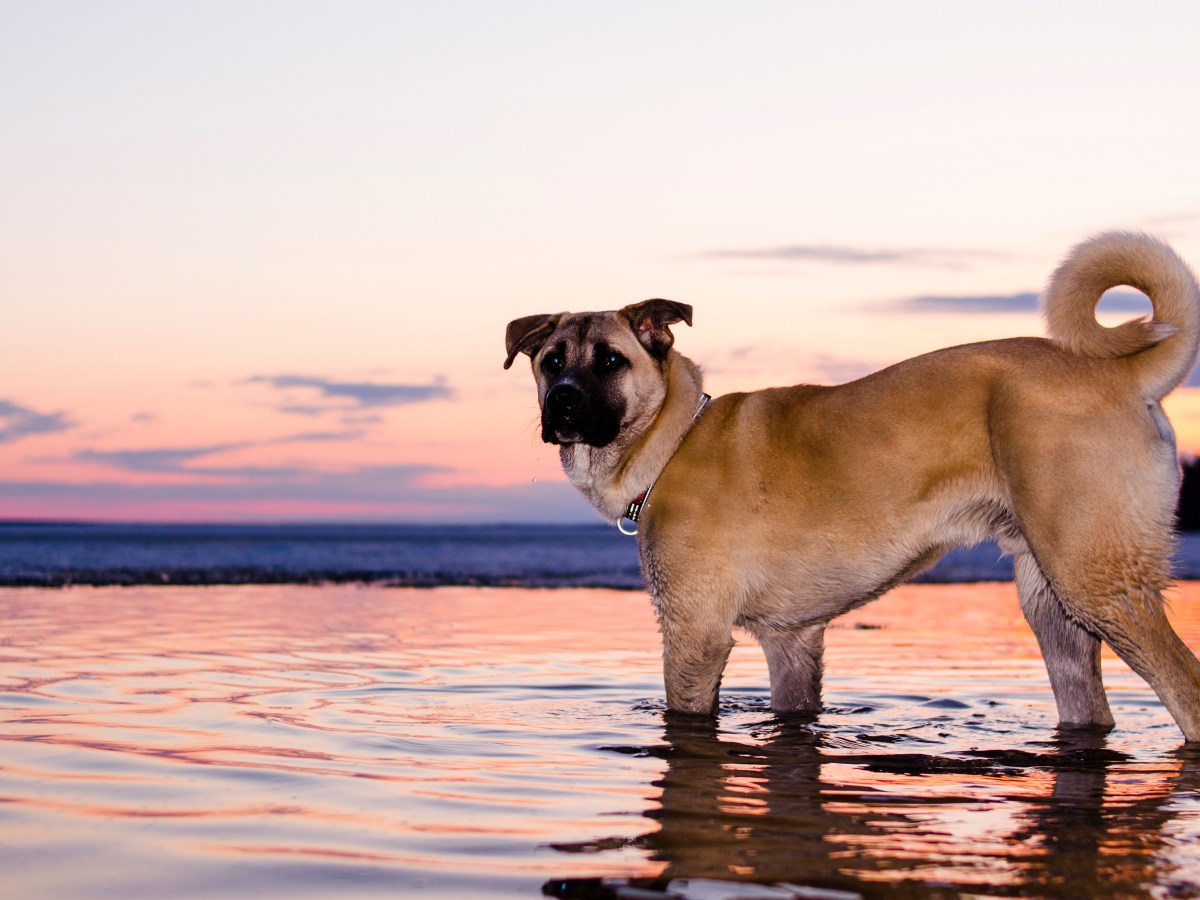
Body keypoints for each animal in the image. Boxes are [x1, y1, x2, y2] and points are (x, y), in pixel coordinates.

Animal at [501, 232, 1200, 739]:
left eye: (611, 360)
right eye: (551, 361)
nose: (562, 403)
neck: (674, 440)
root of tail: (1124, 375)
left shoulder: (695, 633)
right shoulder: (791, 641)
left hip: (1099, 582)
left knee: (1187, 693)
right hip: (1054, 612)